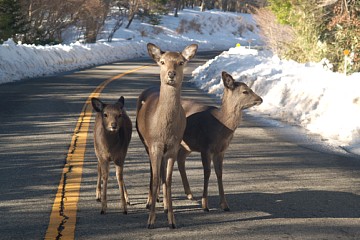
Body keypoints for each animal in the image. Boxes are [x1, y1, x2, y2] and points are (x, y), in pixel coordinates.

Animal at [136, 42, 197, 229]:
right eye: (162, 62)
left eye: (181, 62)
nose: (171, 74)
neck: (165, 129)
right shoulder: (154, 144)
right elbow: (156, 178)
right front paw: (150, 221)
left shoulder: (173, 146)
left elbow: (168, 180)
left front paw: (172, 219)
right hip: (145, 142)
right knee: (152, 172)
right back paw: (150, 201)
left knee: (162, 172)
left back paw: (162, 205)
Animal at [177, 71, 262, 212]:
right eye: (245, 91)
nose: (260, 99)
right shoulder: (205, 147)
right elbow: (207, 173)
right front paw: (205, 205)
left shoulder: (221, 150)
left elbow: (219, 173)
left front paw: (225, 204)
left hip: (186, 146)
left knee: (179, 160)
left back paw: (189, 194)